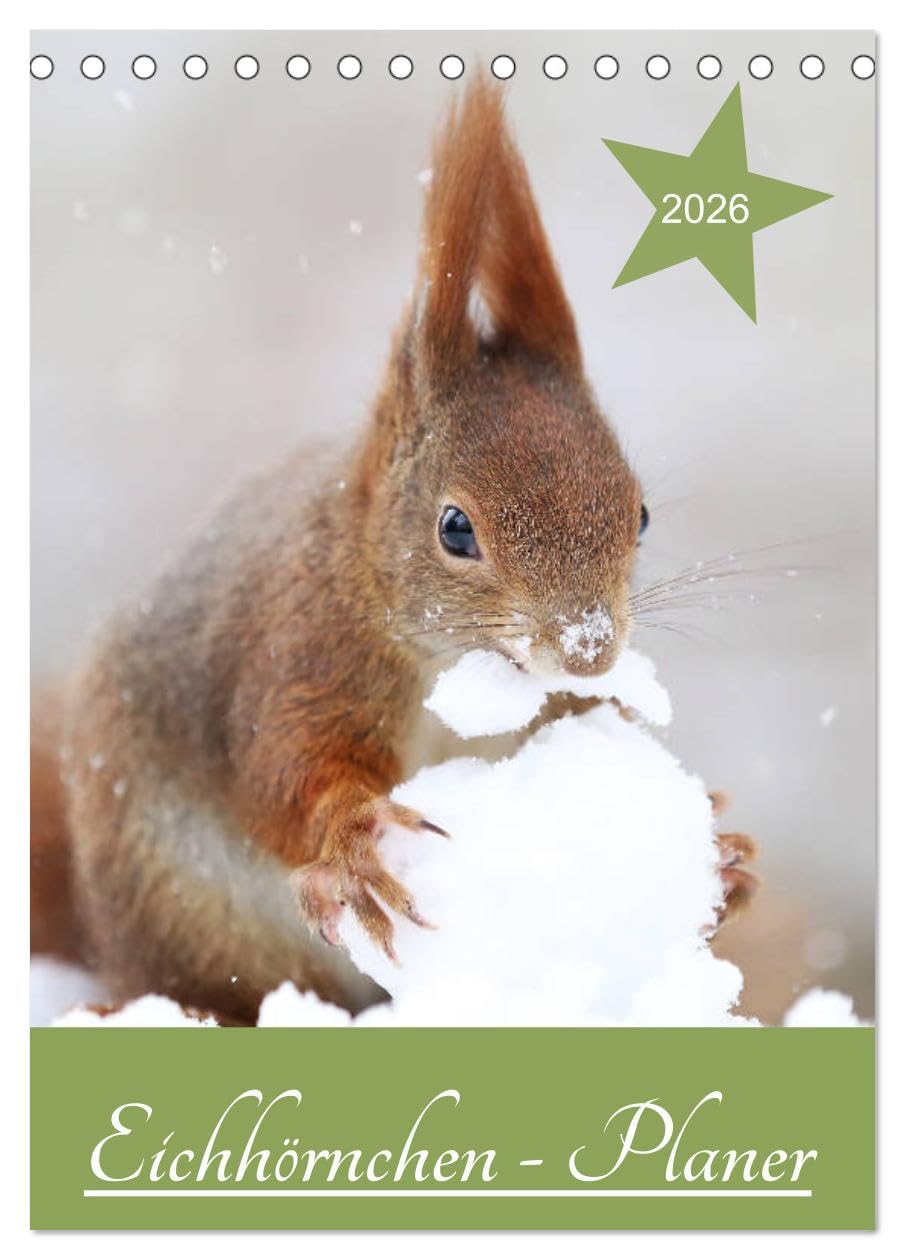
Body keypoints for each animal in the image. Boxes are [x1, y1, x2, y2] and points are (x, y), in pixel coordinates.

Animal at [31, 76, 756, 1025]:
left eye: (638, 514)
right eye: (455, 528)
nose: (588, 651)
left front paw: (725, 859)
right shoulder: (299, 655)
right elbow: (287, 772)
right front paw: (351, 845)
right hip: (185, 918)